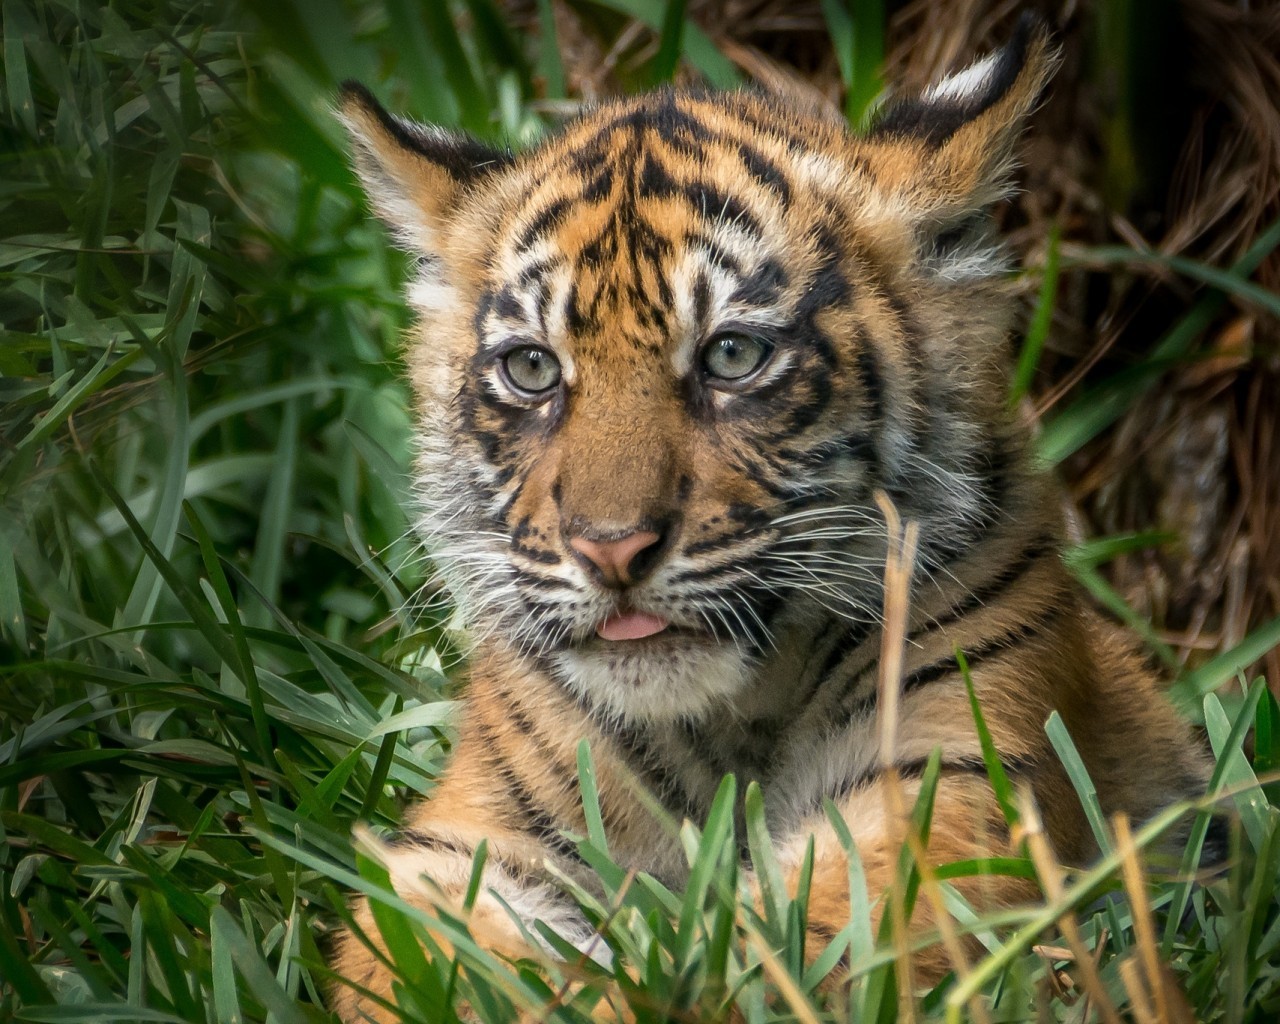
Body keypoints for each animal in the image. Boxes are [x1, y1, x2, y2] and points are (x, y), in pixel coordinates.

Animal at [332, 16, 1211, 1021]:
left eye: (732, 355)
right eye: (532, 369)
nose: (612, 551)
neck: (730, 720)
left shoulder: (955, 781)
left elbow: (778, 952)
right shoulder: (455, 850)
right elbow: (461, 963)